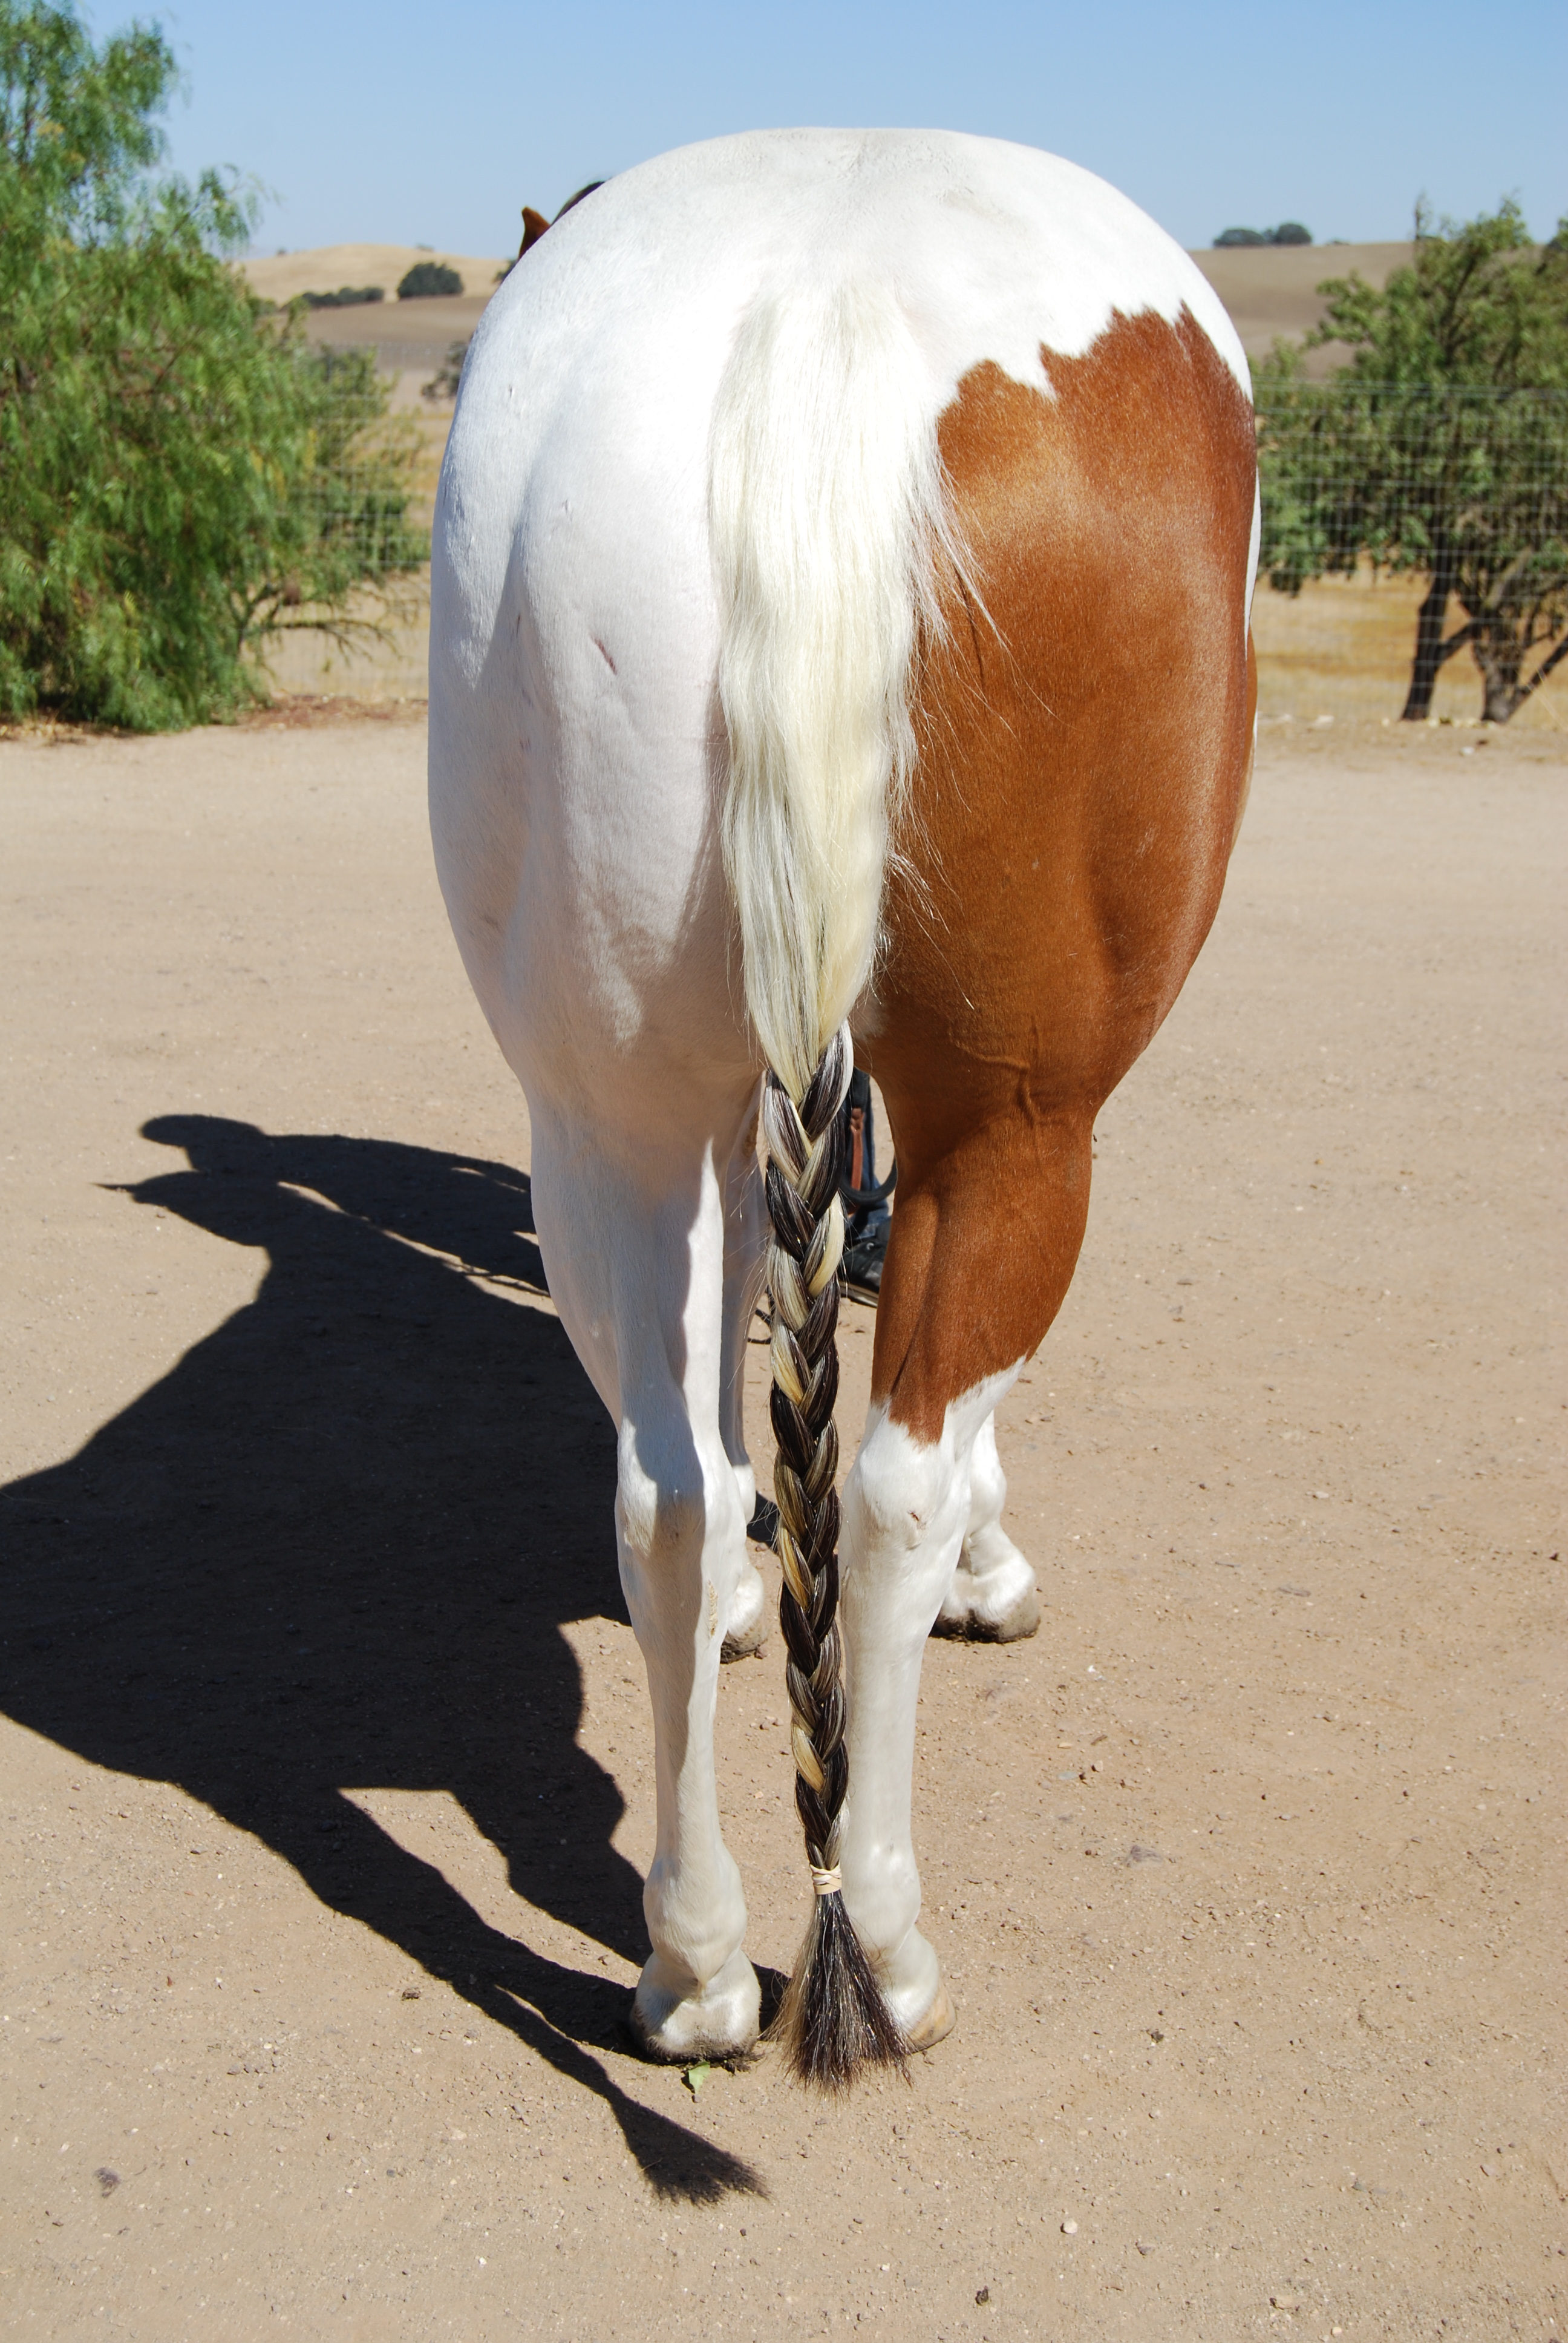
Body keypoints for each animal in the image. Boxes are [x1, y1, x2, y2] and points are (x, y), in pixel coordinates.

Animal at [422, 123, 1256, 2089]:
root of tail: (820, 315)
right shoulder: (986, 1133)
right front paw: (995, 1565)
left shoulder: (727, 1119)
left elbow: (728, 1423)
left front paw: (746, 1609)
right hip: (1022, 1125)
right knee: (883, 1491)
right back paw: (872, 1923)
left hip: (606, 1116)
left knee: (670, 1492)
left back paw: (695, 1957)